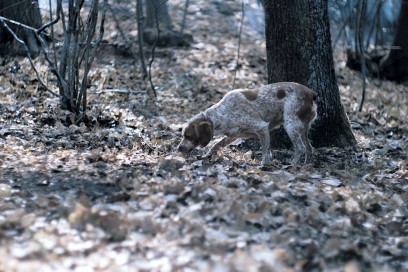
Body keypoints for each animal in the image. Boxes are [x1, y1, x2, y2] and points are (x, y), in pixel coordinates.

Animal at [177, 82, 318, 165]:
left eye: (188, 136)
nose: (179, 148)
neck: (223, 113)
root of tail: (311, 93)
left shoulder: (261, 127)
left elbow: (265, 150)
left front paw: (264, 165)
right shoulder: (233, 135)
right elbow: (216, 144)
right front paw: (207, 155)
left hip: (290, 124)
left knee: (300, 148)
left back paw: (292, 165)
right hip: (303, 129)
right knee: (309, 148)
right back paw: (306, 165)